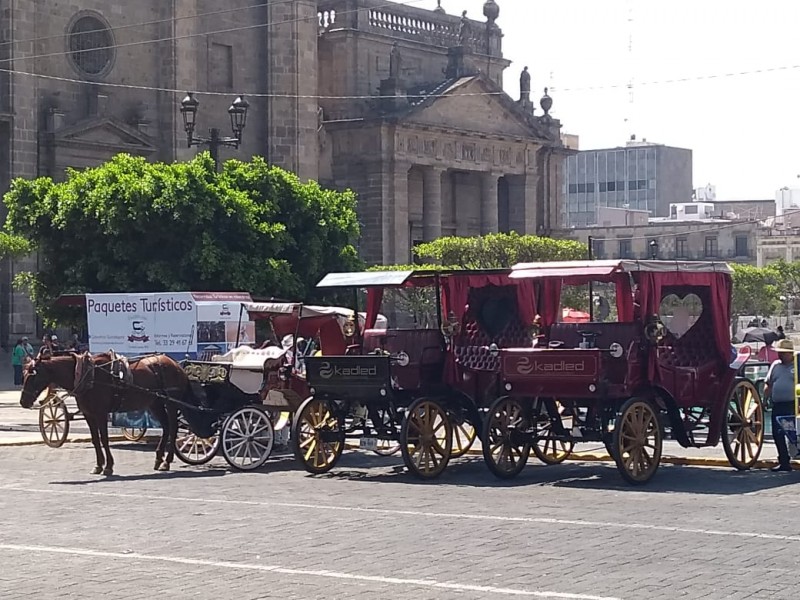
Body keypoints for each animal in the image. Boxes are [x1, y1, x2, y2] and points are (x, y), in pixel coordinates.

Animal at [20, 352, 189, 474]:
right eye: (24, 375)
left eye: (33, 376)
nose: (23, 402)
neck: (87, 376)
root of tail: (174, 363)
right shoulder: (89, 415)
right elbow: (96, 439)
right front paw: (99, 465)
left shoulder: (100, 413)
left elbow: (104, 439)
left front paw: (108, 466)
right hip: (155, 403)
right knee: (166, 427)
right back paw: (159, 458)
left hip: (171, 403)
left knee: (173, 427)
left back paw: (167, 460)